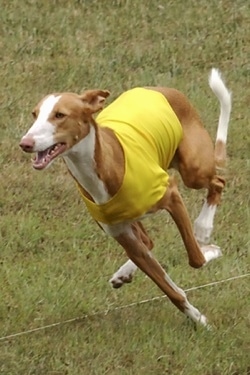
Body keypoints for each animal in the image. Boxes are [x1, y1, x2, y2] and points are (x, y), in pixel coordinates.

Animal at [20, 69, 232, 328]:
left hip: (194, 169)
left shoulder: (171, 195)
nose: (25, 143)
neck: (101, 170)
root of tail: (162, 89)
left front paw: (210, 250)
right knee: (148, 241)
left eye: (60, 115)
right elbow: (170, 289)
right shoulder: (122, 235)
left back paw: (203, 228)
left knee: (218, 182)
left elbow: (196, 258)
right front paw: (198, 318)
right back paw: (125, 272)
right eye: (35, 114)